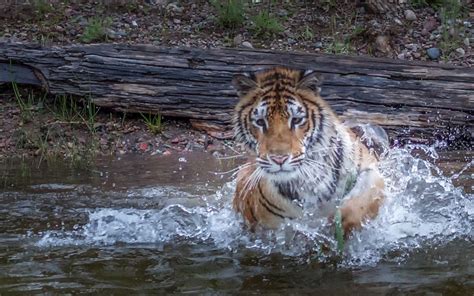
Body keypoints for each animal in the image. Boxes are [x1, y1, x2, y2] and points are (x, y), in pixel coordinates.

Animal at [232, 67, 386, 236]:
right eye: (260, 122)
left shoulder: (369, 167)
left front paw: (338, 223)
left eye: (296, 120)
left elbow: (361, 200)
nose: (279, 159)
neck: (310, 179)